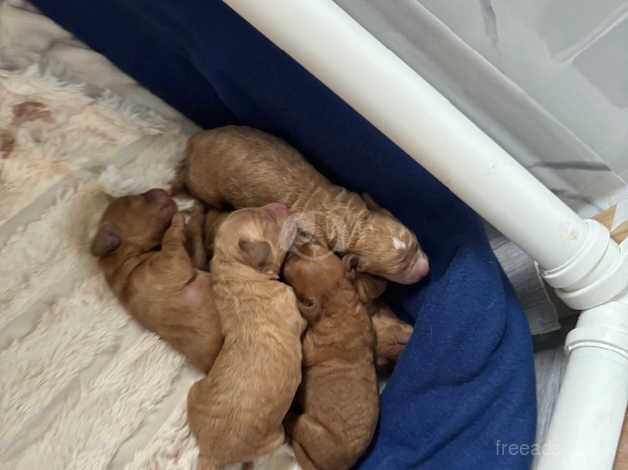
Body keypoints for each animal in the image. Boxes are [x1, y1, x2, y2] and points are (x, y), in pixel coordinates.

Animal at [91, 189, 222, 372]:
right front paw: (179, 217)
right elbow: (171, 238)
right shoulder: (171, 263)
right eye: (136, 198)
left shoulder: (195, 261)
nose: (160, 190)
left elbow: (194, 235)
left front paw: (197, 209)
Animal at [179, 125, 430, 284]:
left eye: (415, 245)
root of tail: (194, 141)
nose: (426, 271)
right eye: (400, 270)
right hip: (206, 186)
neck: (350, 219)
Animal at [185, 203, 306, 470]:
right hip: (273, 437)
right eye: (268, 220)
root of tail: (210, 453)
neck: (236, 275)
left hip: (193, 391)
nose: (282, 205)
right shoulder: (292, 305)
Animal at [282, 242, 380, 470]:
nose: (292, 248)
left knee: (295, 425)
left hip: (309, 427)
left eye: (290, 265)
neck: (338, 303)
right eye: (313, 247)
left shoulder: (308, 345)